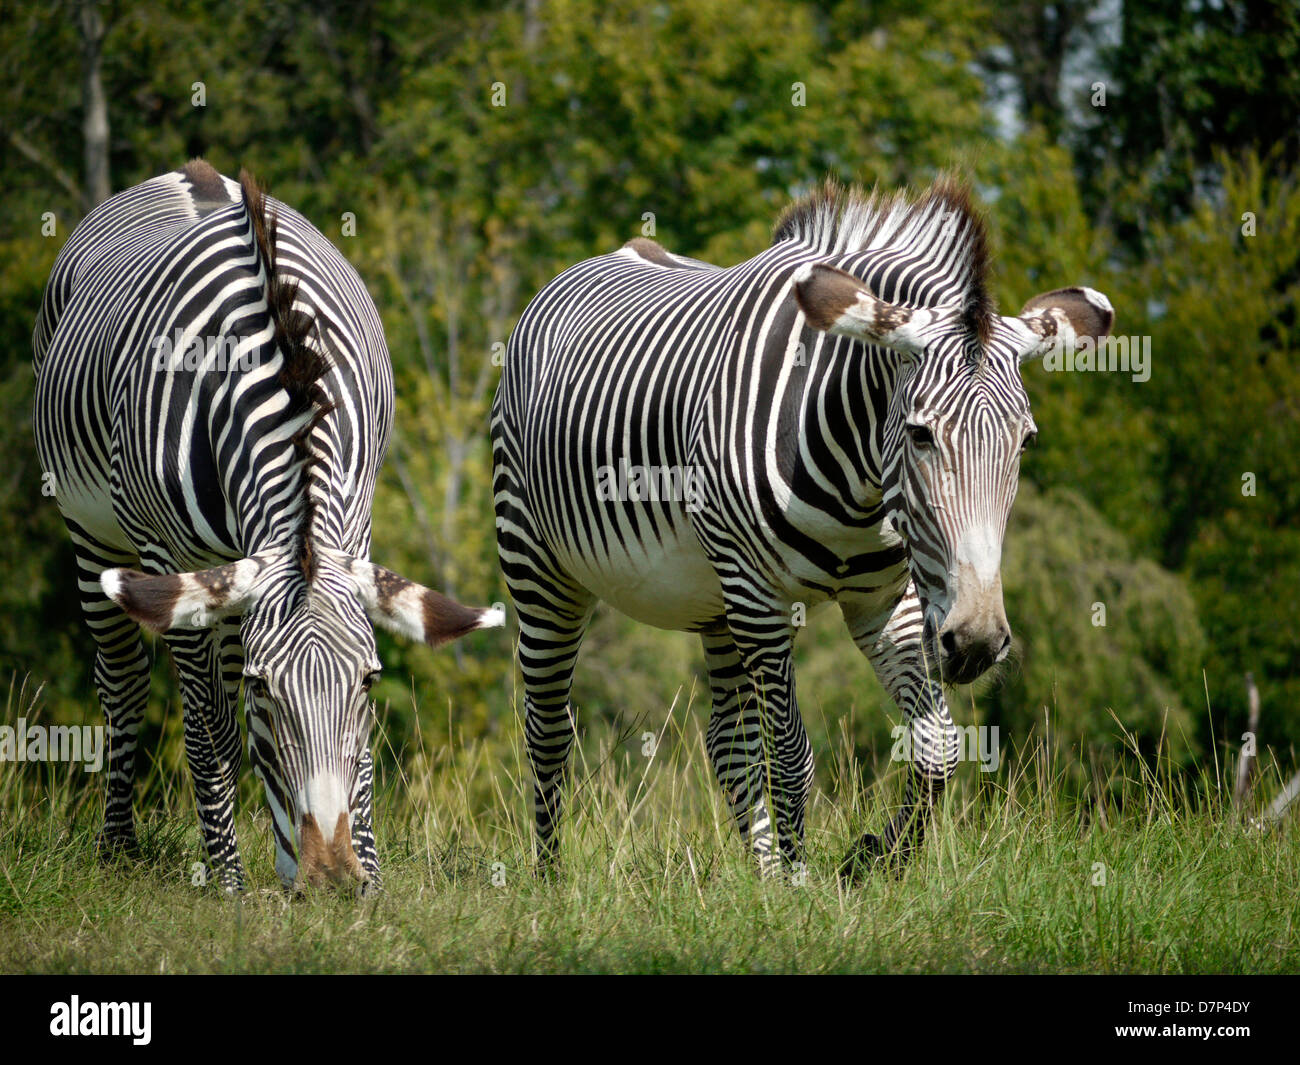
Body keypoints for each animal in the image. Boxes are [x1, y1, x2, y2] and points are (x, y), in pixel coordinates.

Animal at [34, 160, 504, 893]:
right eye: (264, 688)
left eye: (369, 682)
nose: (333, 879)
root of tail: (189, 171)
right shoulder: (165, 556)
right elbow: (210, 727)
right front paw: (229, 878)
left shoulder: (352, 529)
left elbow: (347, 753)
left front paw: (366, 868)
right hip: (93, 534)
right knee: (126, 682)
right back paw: (119, 847)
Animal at [492, 175, 1112, 879]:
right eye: (921, 434)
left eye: (1025, 442)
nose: (977, 642)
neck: (861, 486)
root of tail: (620, 251)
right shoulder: (761, 599)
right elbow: (791, 756)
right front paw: (800, 883)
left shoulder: (884, 602)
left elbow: (938, 748)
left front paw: (874, 856)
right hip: (542, 569)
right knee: (547, 727)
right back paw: (551, 879)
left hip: (717, 604)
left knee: (728, 742)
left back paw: (758, 876)